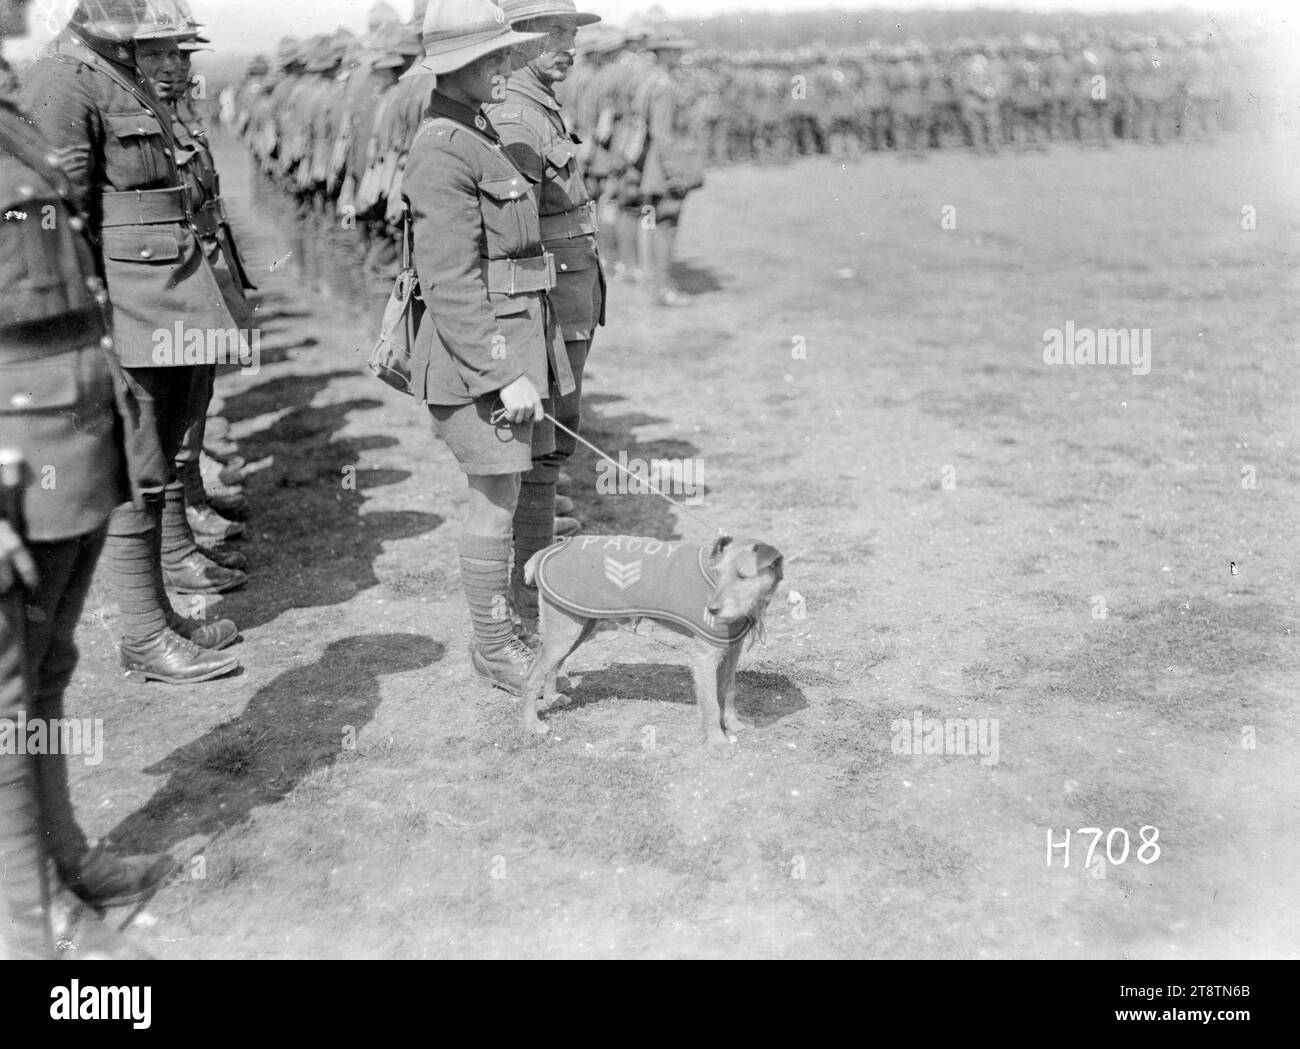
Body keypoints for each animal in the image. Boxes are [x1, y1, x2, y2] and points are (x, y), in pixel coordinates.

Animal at [517, 538, 780, 759]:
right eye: (717, 574)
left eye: (742, 576)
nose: (712, 609)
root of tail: (549, 549)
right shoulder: (704, 659)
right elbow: (711, 705)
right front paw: (717, 743)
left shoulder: (732, 652)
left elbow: (728, 690)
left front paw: (733, 724)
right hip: (565, 633)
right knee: (531, 677)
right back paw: (531, 724)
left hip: (576, 629)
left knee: (553, 665)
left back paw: (551, 697)